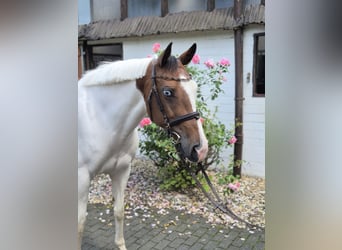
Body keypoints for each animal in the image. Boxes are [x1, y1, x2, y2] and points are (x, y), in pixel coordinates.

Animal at [78, 43, 208, 250]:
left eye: (194, 88)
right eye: (168, 92)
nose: (201, 148)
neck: (100, 119)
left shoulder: (121, 171)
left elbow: (119, 211)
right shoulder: (82, 178)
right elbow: (80, 224)